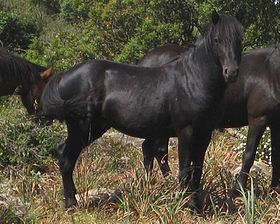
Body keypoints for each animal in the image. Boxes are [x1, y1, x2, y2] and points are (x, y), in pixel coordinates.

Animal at [40, 11, 244, 209]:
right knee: (66, 159)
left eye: (239, 39)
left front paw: (196, 205)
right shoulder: (186, 132)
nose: (231, 72)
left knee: (64, 153)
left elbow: (197, 171)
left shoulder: (204, 133)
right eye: (217, 39)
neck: (192, 79)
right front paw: (186, 205)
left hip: (94, 128)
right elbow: (185, 171)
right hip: (82, 128)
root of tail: (65, 75)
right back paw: (70, 203)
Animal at [137, 43, 280, 194]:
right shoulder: (258, 119)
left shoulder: (276, 123)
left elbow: (275, 156)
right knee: (158, 151)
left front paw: (274, 190)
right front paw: (238, 190)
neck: (271, 71)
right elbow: (249, 155)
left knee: (150, 149)